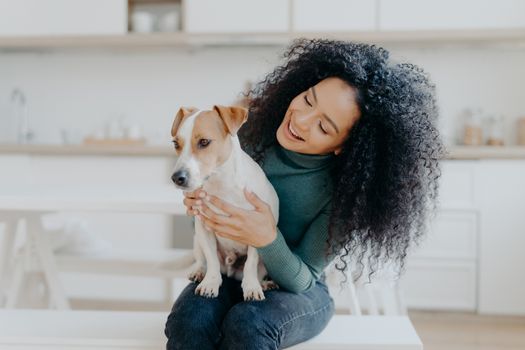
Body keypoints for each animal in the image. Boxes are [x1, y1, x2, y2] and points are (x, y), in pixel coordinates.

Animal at [171, 104, 278, 300]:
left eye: (204, 142)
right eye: (176, 144)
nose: (176, 178)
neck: (221, 186)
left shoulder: (256, 231)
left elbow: (251, 263)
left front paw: (252, 287)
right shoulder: (204, 229)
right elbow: (211, 260)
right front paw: (210, 283)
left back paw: (264, 283)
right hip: (197, 240)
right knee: (202, 260)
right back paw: (199, 272)